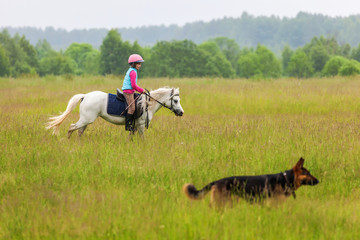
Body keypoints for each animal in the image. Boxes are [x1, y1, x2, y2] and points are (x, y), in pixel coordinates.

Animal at [46, 87, 184, 138]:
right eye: (176, 100)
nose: (181, 112)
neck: (146, 104)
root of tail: (85, 96)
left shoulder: (134, 125)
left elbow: (131, 137)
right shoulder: (139, 124)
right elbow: (142, 138)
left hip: (85, 120)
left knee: (79, 131)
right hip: (86, 119)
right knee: (71, 128)